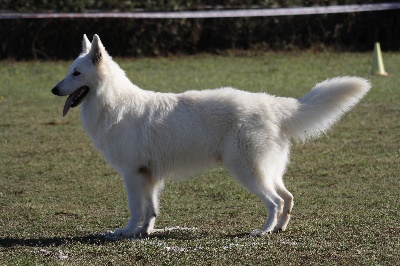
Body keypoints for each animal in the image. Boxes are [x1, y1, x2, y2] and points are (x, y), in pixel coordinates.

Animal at [51, 34, 370, 238]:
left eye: (77, 73)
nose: (54, 90)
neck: (114, 103)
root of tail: (271, 105)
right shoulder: (149, 176)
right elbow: (150, 209)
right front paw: (143, 232)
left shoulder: (132, 174)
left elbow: (135, 208)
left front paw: (127, 231)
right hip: (267, 170)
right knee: (287, 197)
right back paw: (279, 229)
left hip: (246, 171)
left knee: (275, 202)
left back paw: (263, 231)